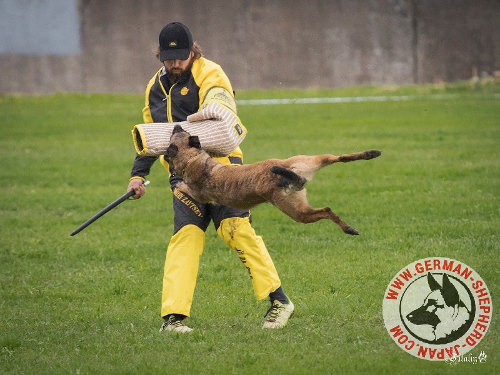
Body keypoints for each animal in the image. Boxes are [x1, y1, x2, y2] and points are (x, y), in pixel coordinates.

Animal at [166, 125, 380, 235]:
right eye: (181, 131)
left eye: (175, 133)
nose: (176, 124)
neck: (193, 159)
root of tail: (288, 172)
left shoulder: (197, 193)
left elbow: (183, 186)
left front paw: (177, 181)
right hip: (310, 160)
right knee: (339, 157)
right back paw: (371, 153)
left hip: (296, 212)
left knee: (325, 210)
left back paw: (348, 229)